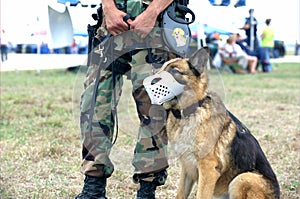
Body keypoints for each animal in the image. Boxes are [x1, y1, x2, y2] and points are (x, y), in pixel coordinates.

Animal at [146, 48, 282, 199]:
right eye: (160, 70)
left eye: (174, 71)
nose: (147, 83)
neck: (189, 112)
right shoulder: (187, 168)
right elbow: (180, 194)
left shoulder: (208, 170)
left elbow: (201, 195)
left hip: (242, 179)